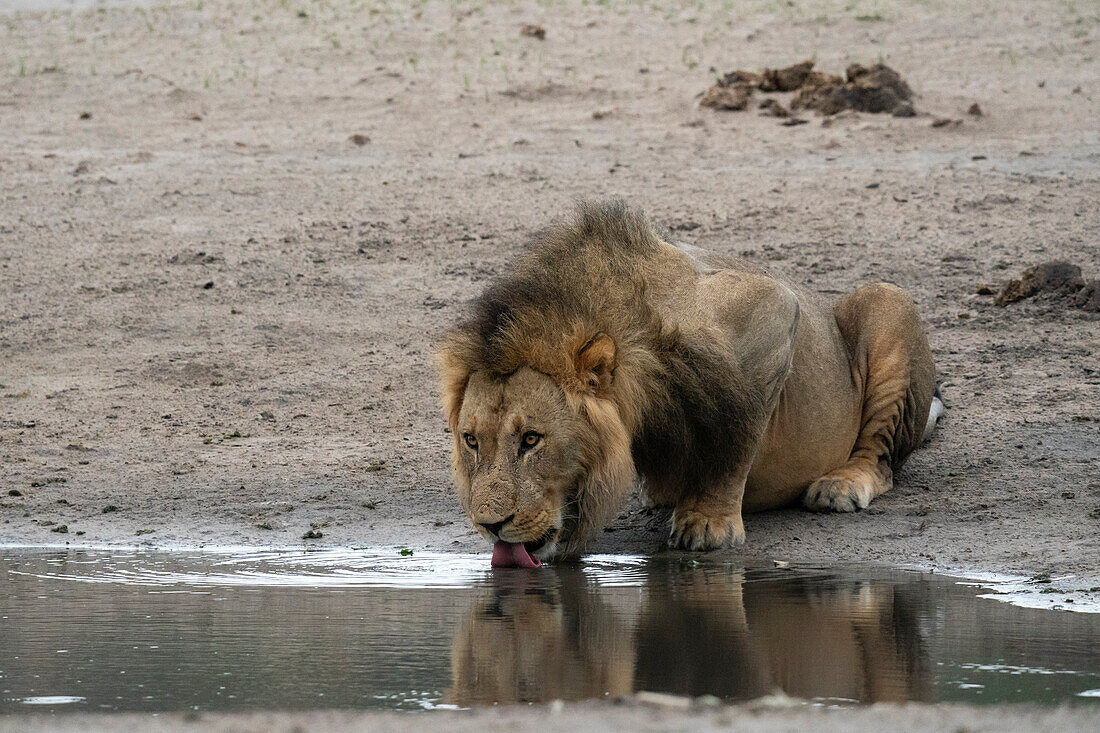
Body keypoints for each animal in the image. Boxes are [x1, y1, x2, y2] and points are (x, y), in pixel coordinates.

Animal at [435, 200, 937, 559]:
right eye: (471, 441)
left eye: (532, 440)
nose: (489, 525)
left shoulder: (771, 311)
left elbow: (734, 443)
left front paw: (707, 523)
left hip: (887, 301)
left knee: (880, 458)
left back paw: (841, 485)